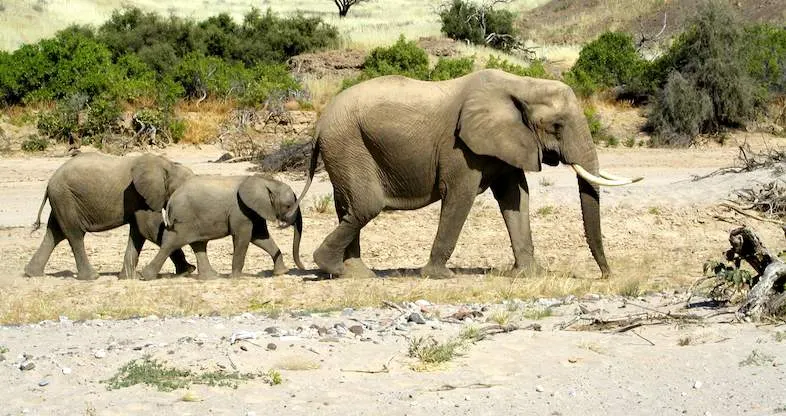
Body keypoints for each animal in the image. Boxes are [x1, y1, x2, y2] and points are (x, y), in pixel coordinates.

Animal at [24, 152, 196, 280]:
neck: (169, 166)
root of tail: (50, 182)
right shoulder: (139, 196)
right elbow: (150, 228)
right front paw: (188, 270)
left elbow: (139, 232)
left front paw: (127, 278)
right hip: (66, 198)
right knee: (75, 235)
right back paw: (91, 277)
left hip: (62, 199)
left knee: (54, 234)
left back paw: (32, 274)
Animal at [137, 174, 305, 280]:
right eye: (288, 205)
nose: (303, 268)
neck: (266, 181)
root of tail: (170, 200)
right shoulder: (240, 211)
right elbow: (243, 238)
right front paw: (235, 278)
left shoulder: (253, 211)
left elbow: (260, 238)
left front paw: (281, 273)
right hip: (184, 219)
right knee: (171, 243)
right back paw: (146, 277)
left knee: (198, 244)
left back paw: (211, 278)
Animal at [290, 69, 641, 279]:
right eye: (556, 126)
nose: (606, 276)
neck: (521, 83)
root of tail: (319, 124)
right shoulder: (461, 149)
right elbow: (461, 195)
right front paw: (437, 276)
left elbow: (516, 197)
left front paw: (527, 274)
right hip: (348, 143)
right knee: (366, 205)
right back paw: (330, 266)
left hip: (347, 146)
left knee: (349, 207)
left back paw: (356, 273)